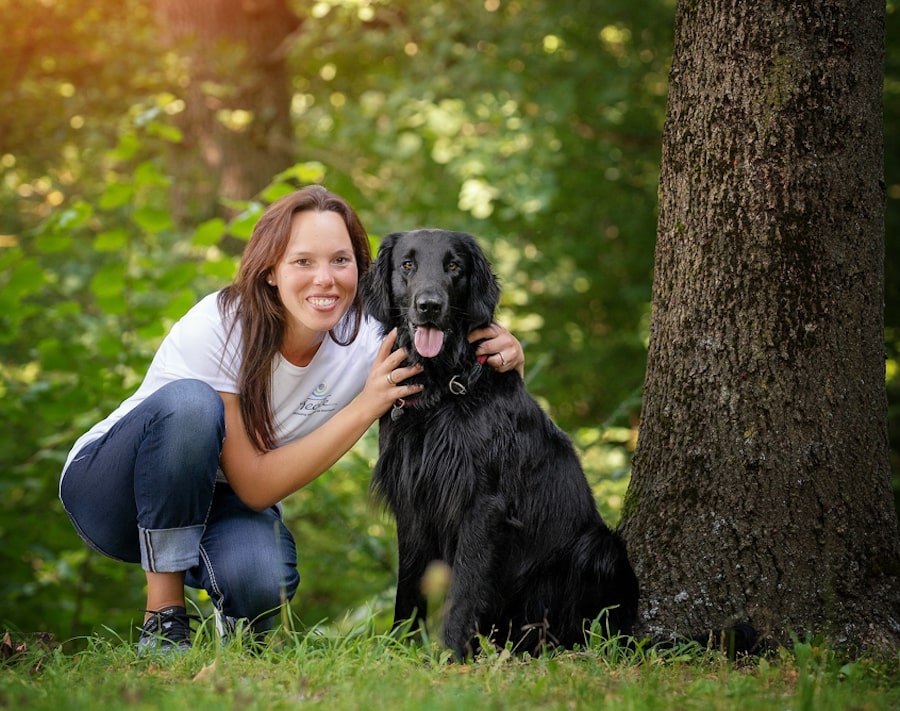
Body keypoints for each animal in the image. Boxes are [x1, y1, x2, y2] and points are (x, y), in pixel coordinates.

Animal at [360, 231, 640, 660]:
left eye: (454, 266)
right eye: (407, 265)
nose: (429, 306)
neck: (441, 391)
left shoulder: (484, 504)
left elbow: (465, 588)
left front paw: (453, 656)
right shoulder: (412, 501)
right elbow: (408, 585)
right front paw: (399, 647)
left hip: (600, 548)